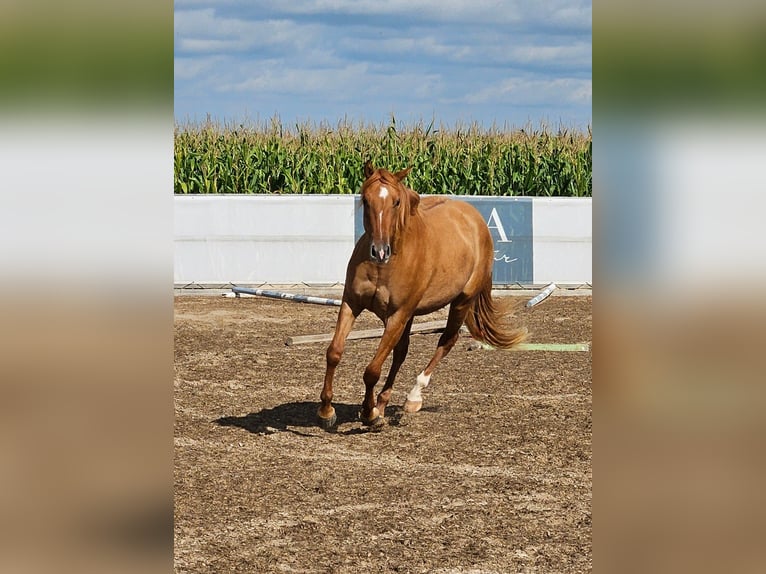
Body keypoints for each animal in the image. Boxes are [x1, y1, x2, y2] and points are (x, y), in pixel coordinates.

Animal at [316, 160, 524, 430]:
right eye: (366, 199)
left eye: (396, 202)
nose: (379, 251)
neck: (386, 265)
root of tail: (475, 219)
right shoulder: (352, 304)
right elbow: (334, 352)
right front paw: (326, 410)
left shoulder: (397, 315)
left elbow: (372, 370)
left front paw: (369, 413)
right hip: (411, 315)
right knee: (400, 353)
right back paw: (382, 403)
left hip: (461, 302)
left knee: (446, 341)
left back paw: (412, 397)